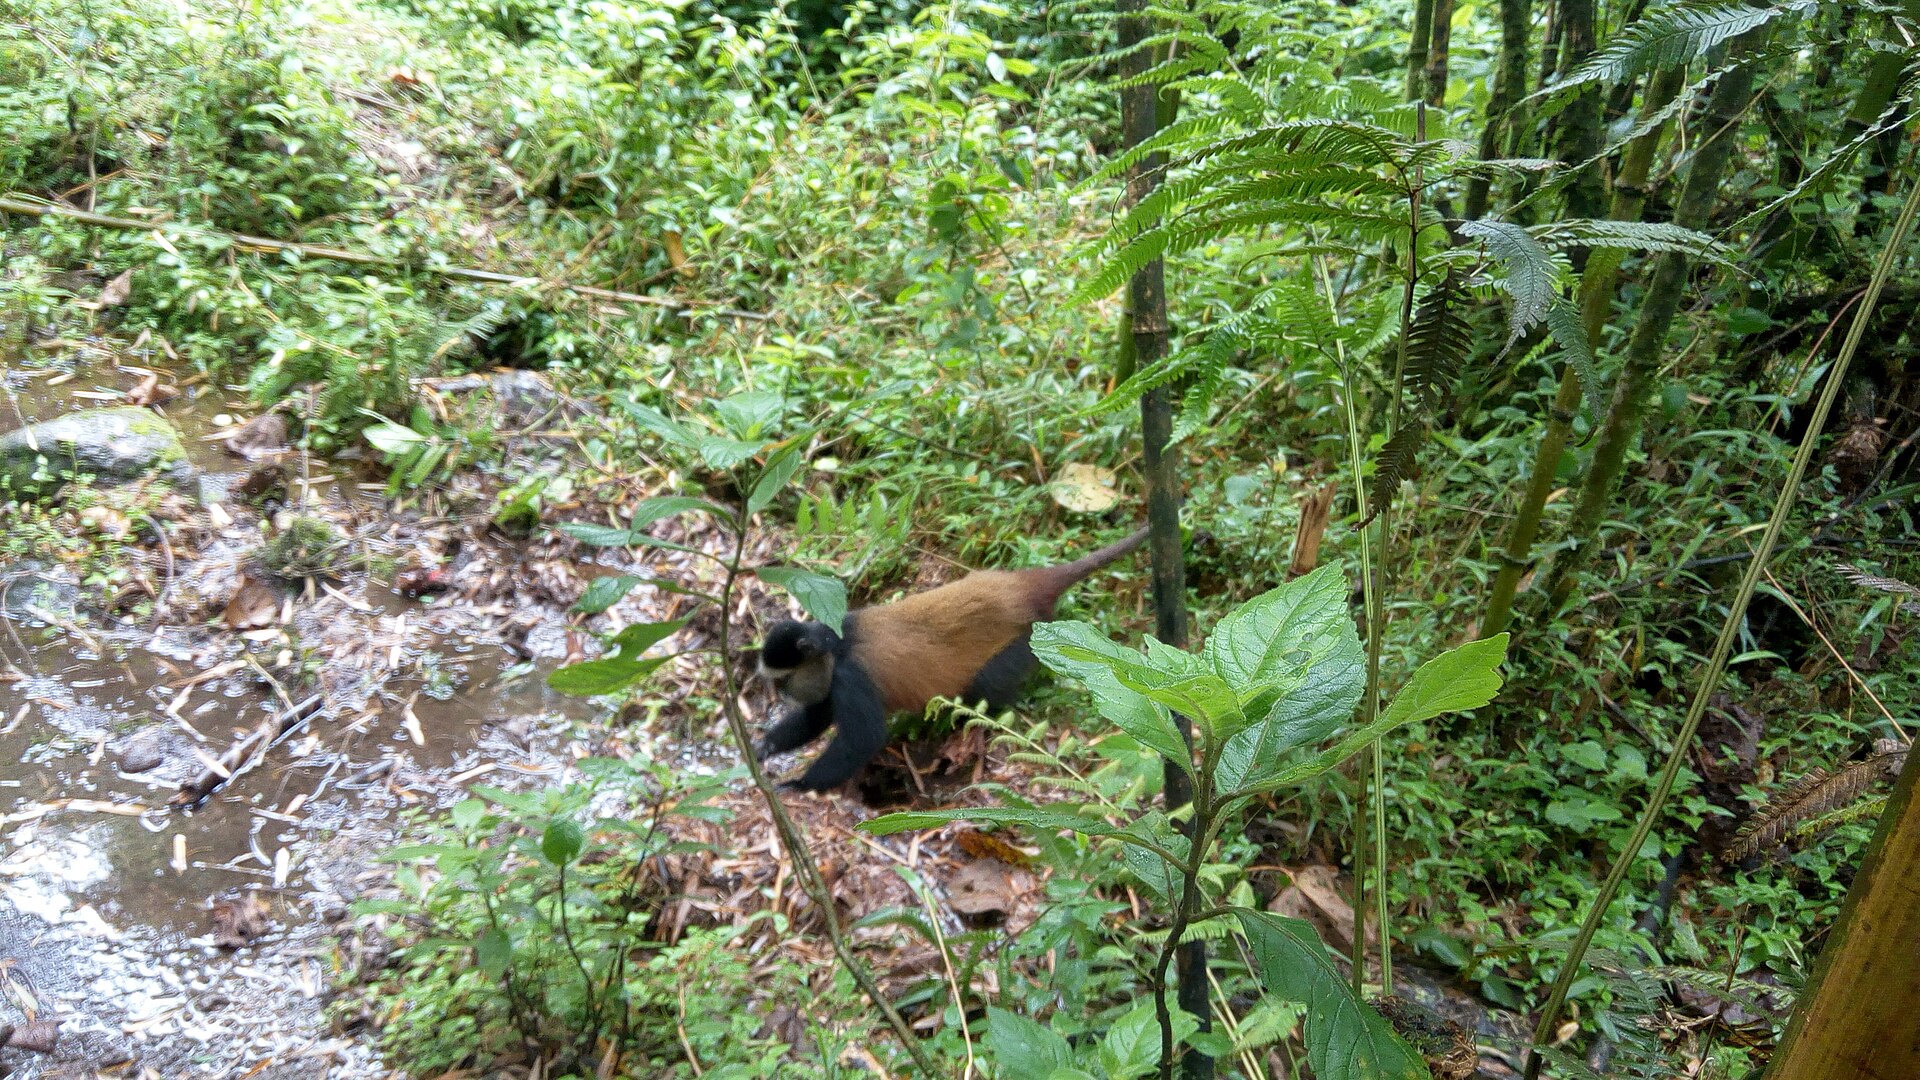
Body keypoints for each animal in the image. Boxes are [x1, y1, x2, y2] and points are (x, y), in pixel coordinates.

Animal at [755, 526, 1150, 792]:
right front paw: (763, 748)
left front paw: (799, 785)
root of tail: (1022, 587)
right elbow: (815, 717)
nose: (782, 695)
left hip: (1026, 639)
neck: (836, 645)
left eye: (784, 680)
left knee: (987, 685)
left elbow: (863, 738)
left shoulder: (850, 679)